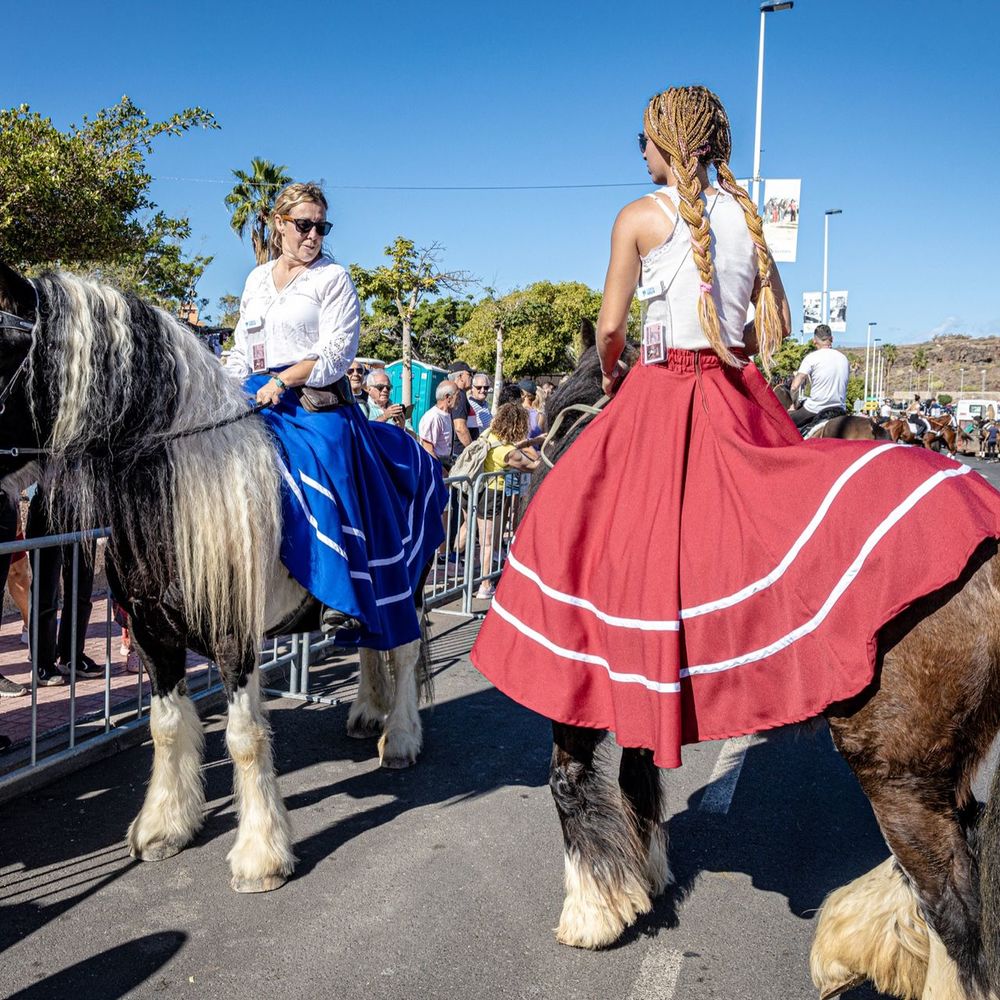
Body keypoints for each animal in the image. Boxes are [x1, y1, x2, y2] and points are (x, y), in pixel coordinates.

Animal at [0, 264, 438, 894]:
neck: (184, 495)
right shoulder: (154, 637)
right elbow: (165, 726)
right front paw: (165, 827)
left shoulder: (235, 641)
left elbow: (244, 738)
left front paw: (261, 855)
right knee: (369, 646)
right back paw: (364, 715)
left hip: (409, 582)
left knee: (401, 652)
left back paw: (399, 738)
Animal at [536, 326, 1000, 1000]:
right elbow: (634, 777)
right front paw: (646, 877)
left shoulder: (574, 682)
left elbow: (568, 783)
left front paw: (592, 912)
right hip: (940, 763)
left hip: (898, 770)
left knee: (955, 904)